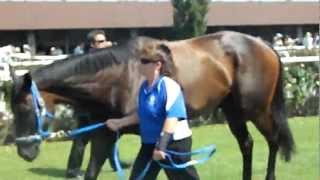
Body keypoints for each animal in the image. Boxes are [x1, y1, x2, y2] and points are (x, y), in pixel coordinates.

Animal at [10, 31, 296, 180]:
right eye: (11, 109)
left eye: (25, 107)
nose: (24, 152)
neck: (120, 76)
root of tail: (263, 44)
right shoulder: (105, 133)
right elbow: (92, 171)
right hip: (232, 110)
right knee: (247, 144)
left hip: (257, 110)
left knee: (273, 140)